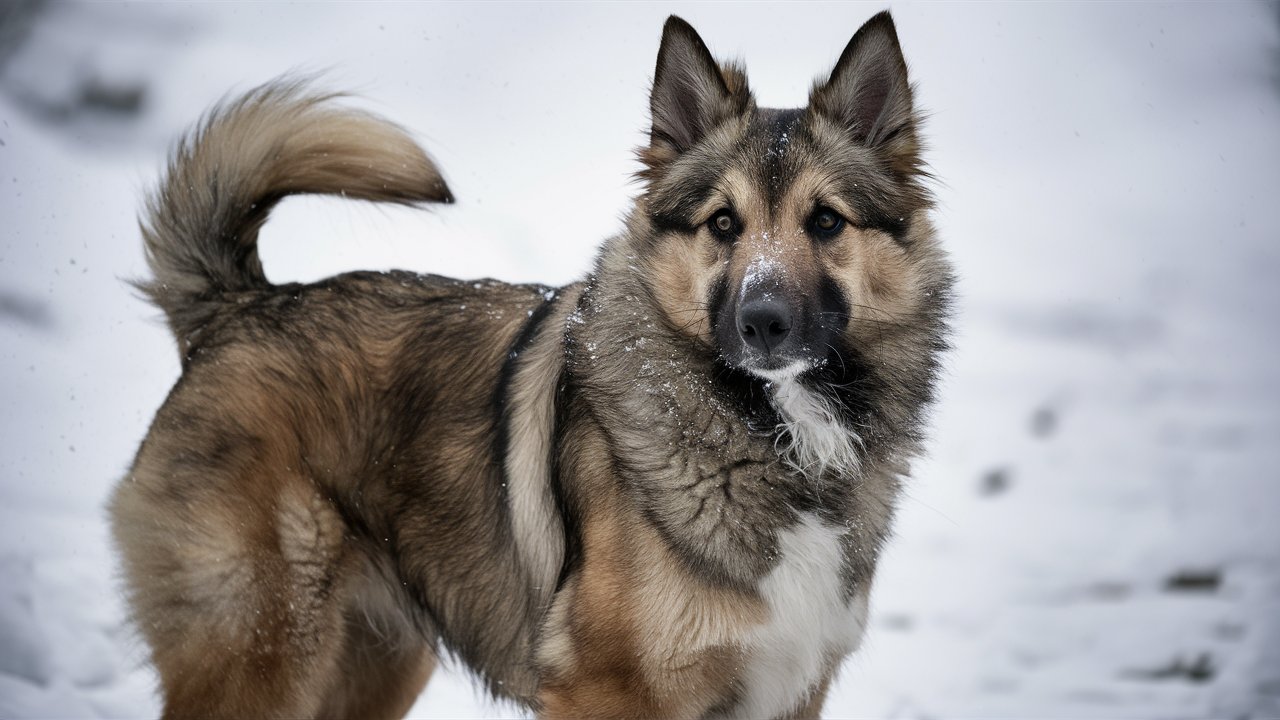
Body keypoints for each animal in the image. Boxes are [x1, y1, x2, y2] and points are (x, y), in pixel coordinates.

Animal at [110, 11, 952, 717]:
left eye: (826, 221)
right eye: (722, 223)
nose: (763, 322)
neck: (774, 431)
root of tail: (240, 308)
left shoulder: (787, 690)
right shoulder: (602, 692)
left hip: (374, 661)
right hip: (262, 655)